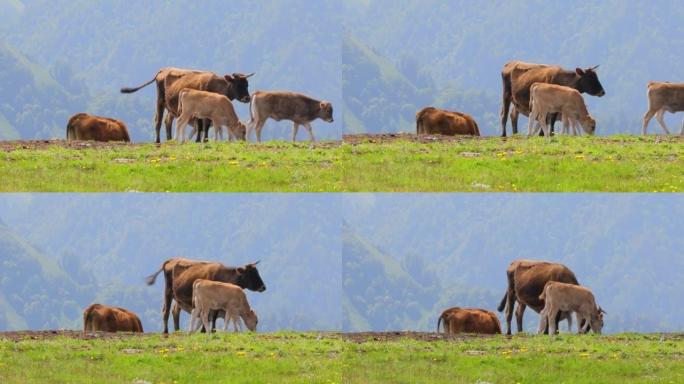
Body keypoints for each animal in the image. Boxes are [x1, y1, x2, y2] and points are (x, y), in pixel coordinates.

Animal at [121, 67, 254, 142]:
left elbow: (206, 125)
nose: (247, 98)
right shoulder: (201, 111)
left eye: (247, 84)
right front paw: (200, 140)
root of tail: (163, 70)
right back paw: (158, 141)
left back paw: (170, 139)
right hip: (160, 101)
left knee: (167, 121)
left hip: (172, 108)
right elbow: (202, 125)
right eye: (238, 84)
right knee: (158, 120)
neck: (217, 86)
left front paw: (204, 140)